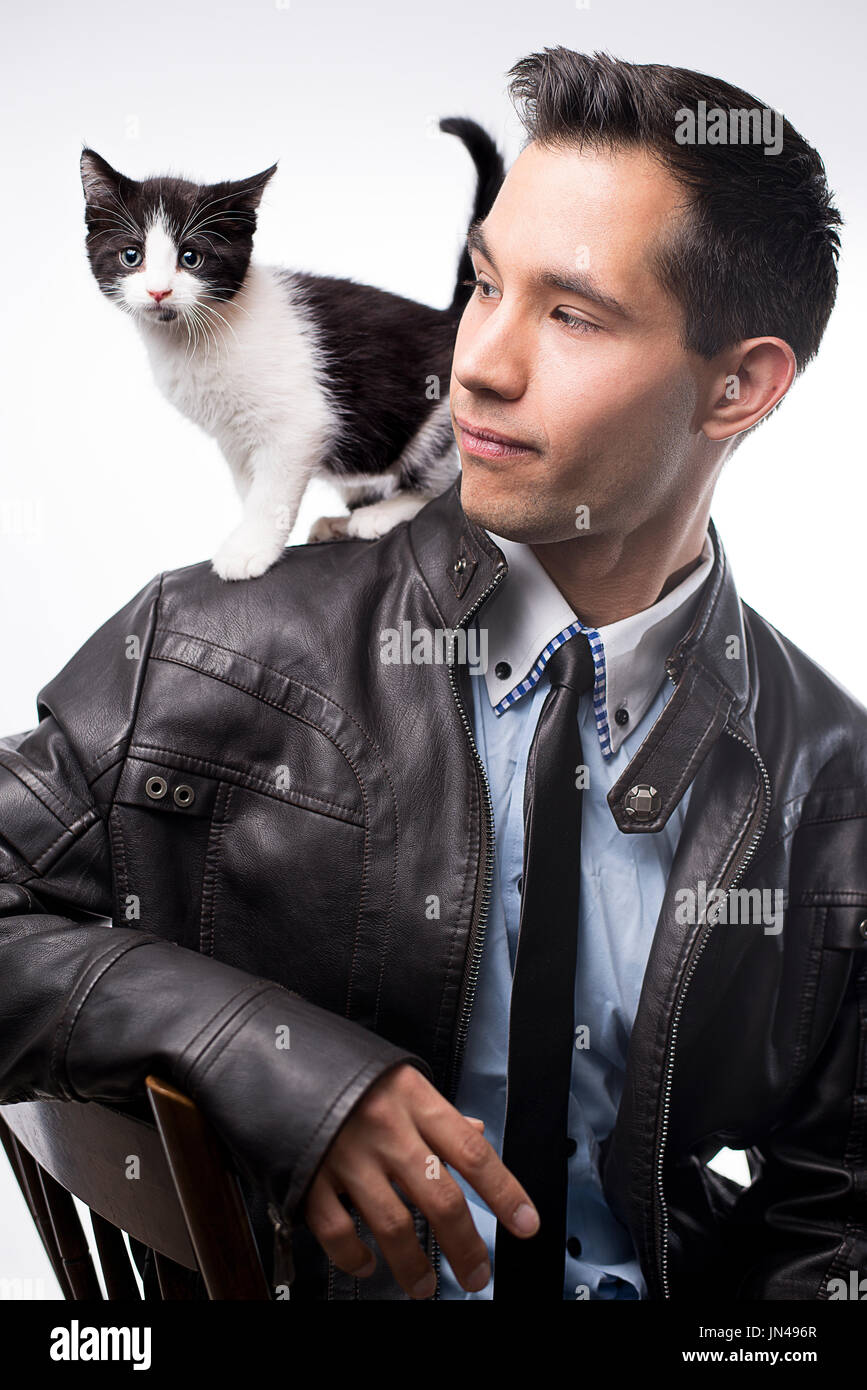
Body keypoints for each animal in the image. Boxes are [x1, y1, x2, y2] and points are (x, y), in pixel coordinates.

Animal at [81, 116, 508, 578]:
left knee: (446, 483)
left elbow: (272, 493)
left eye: (191, 258)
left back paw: (382, 514)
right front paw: (252, 535)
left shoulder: (301, 425)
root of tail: (451, 318)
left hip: (442, 419)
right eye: (131, 256)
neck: (190, 337)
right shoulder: (233, 437)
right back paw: (340, 522)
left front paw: (249, 549)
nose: (159, 292)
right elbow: (250, 487)